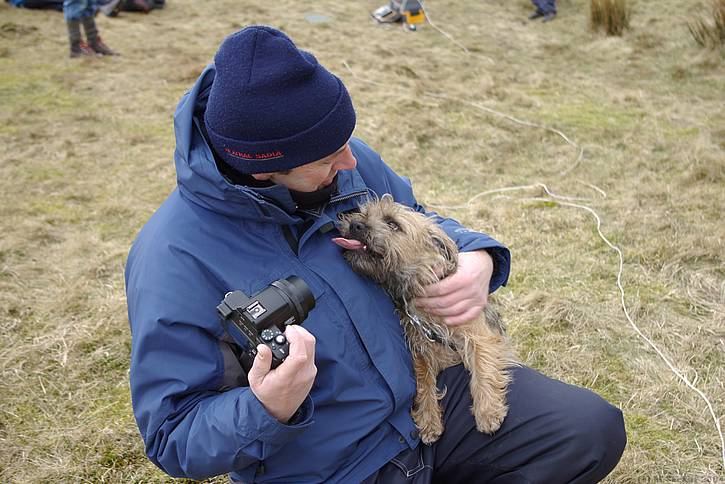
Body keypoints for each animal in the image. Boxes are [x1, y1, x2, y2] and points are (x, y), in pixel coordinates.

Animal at [330, 195, 516, 444]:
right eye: (364, 213)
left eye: (393, 224)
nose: (355, 225)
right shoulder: (420, 349)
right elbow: (423, 381)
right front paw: (428, 420)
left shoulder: (478, 334)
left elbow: (482, 363)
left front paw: (487, 411)